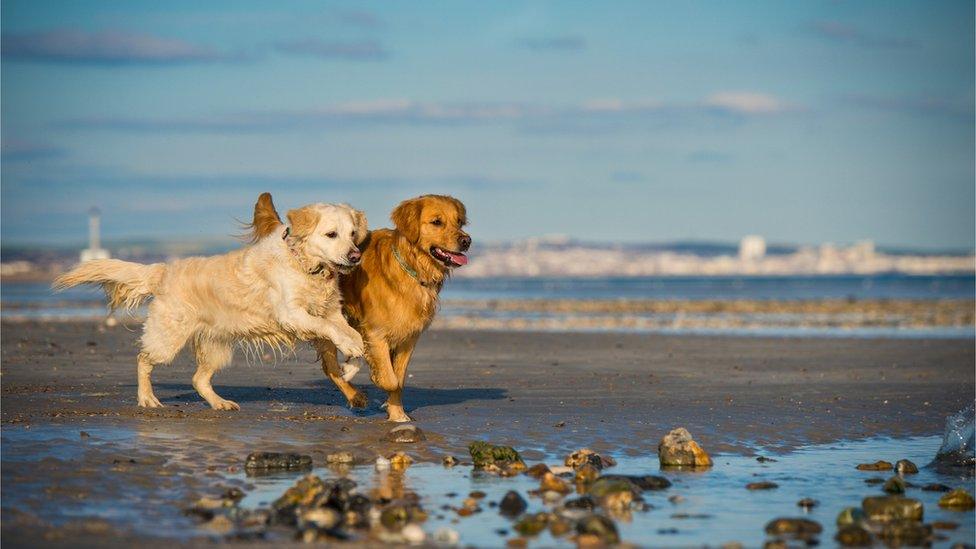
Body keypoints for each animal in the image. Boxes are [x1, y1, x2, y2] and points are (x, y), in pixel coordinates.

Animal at [54, 203, 366, 408]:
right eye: (331, 234)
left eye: (353, 233)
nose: (355, 256)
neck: (305, 265)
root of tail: (163, 271)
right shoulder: (291, 313)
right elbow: (328, 328)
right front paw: (350, 349)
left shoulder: (331, 309)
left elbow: (348, 332)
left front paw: (350, 362)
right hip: (168, 337)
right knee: (143, 359)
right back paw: (147, 398)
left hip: (218, 346)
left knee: (198, 380)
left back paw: (220, 403)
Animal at [248, 193, 468, 420]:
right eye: (437, 222)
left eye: (459, 221)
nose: (466, 241)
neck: (410, 269)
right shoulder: (376, 332)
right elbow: (391, 380)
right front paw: (379, 382)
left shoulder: (409, 338)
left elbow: (399, 379)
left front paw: (397, 414)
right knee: (330, 367)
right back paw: (355, 394)